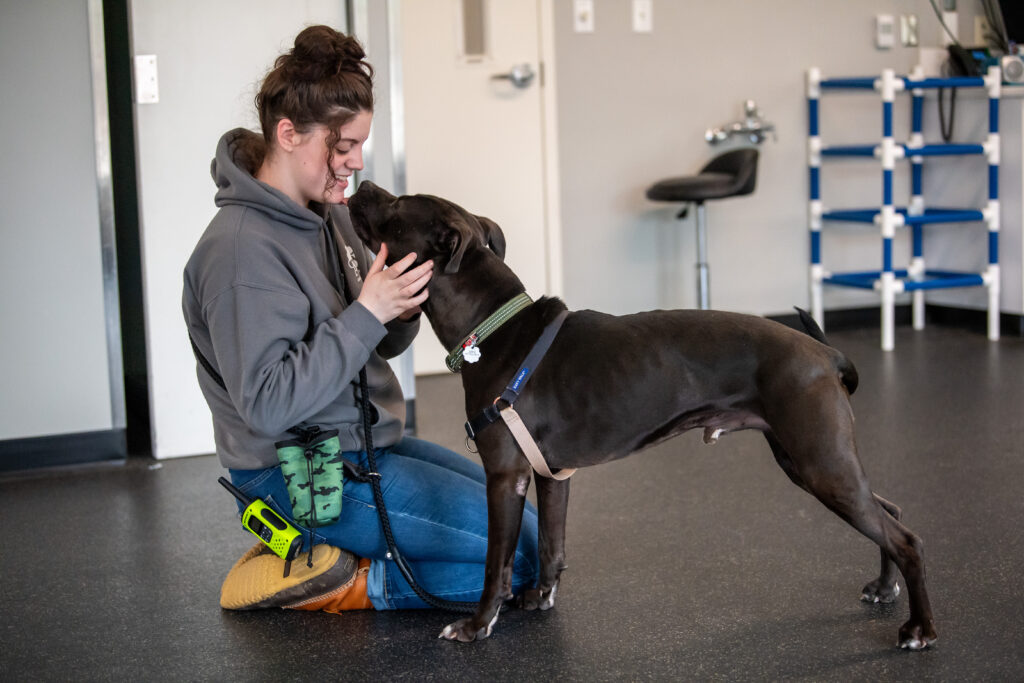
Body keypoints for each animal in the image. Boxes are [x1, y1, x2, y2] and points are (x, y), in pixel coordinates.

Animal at [350, 179, 937, 651]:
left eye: (397, 208)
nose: (363, 184)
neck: (492, 328)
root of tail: (825, 353)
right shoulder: (550, 475)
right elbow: (552, 546)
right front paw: (539, 597)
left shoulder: (505, 477)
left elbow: (496, 564)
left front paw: (477, 626)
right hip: (813, 459)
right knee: (889, 510)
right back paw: (885, 587)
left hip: (819, 463)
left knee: (904, 536)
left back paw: (919, 629)